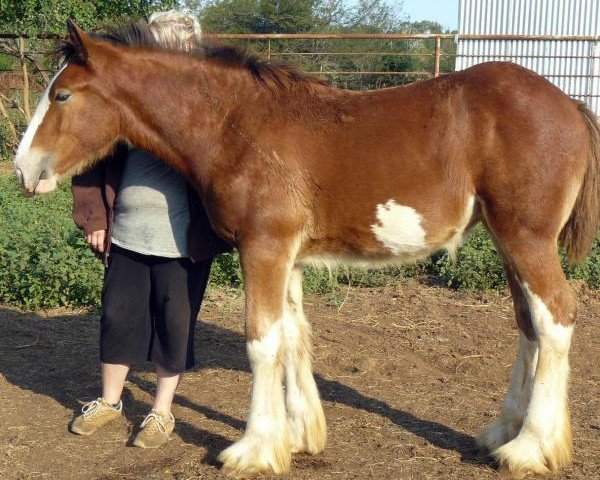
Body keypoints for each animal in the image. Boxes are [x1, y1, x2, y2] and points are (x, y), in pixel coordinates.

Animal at [12, 20, 600, 478]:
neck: (235, 126)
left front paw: (253, 449)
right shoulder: (286, 256)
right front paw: (297, 437)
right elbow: (292, 336)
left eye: (62, 95)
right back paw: (502, 431)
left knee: (555, 318)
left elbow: (261, 341)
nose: (22, 170)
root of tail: (570, 104)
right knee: (528, 324)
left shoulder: (264, 247)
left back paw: (530, 448)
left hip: (526, 239)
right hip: (506, 241)